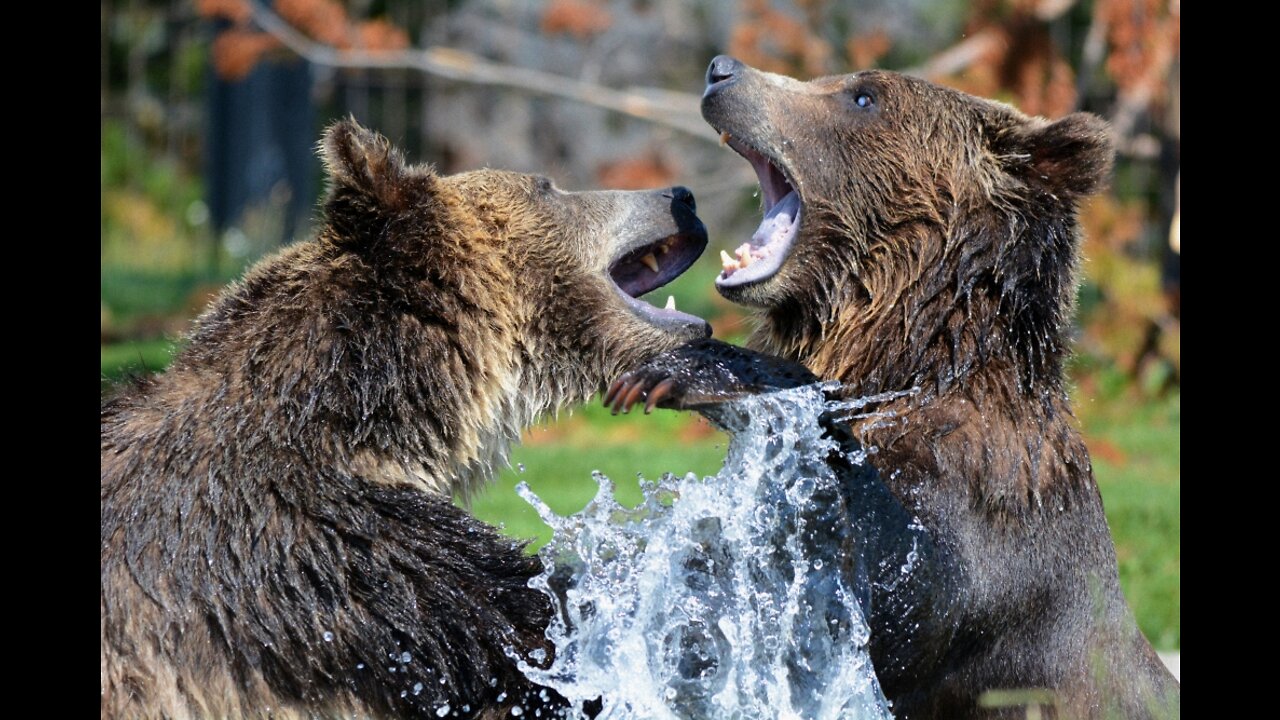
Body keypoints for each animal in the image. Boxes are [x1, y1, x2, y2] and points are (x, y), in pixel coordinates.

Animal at [609, 57, 1177, 717]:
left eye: (862, 97)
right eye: (831, 80)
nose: (724, 72)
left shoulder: (983, 516)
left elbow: (894, 581)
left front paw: (683, 371)